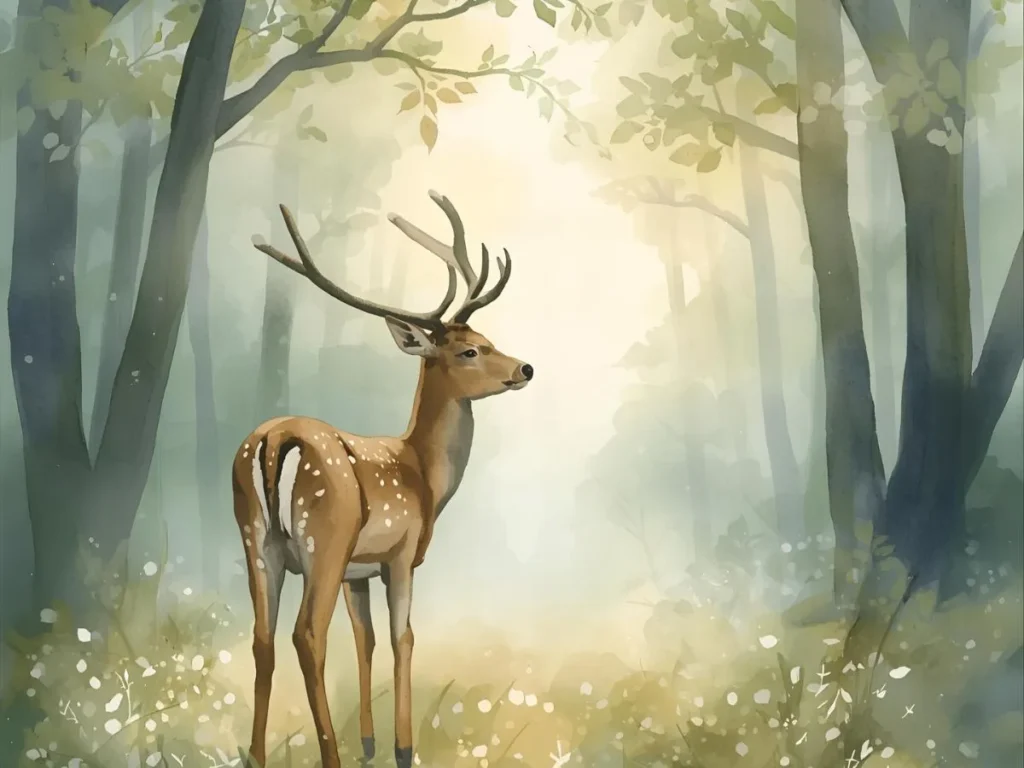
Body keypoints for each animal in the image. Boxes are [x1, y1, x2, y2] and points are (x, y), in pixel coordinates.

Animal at [232, 190, 533, 768]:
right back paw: (330, 755)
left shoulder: (359, 572)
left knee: (262, 637)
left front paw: (370, 743)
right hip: (325, 534)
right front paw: (402, 749)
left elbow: (364, 639)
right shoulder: (401, 552)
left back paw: (256, 755)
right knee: (307, 635)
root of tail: (275, 442)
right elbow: (403, 638)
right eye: (469, 350)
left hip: (256, 538)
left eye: (486, 338)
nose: (525, 368)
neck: (425, 476)